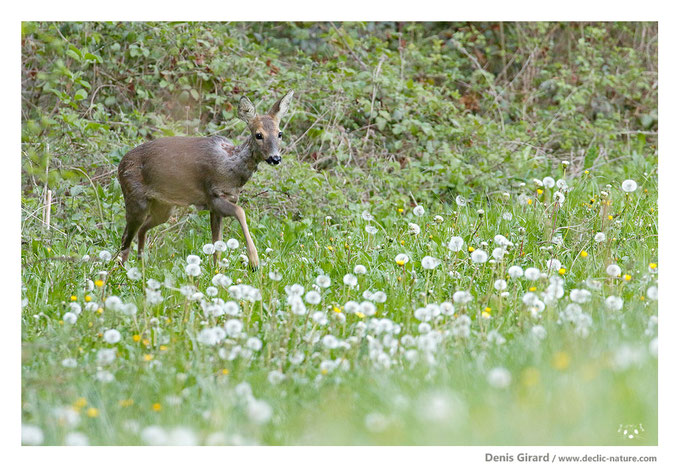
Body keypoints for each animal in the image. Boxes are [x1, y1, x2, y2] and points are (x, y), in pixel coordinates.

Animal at [117, 89, 292, 268]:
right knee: (125, 238)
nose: (275, 158)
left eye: (279, 133)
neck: (231, 167)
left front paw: (217, 268)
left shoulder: (221, 203)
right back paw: (121, 268)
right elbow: (240, 212)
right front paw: (254, 261)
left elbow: (217, 242)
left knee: (141, 229)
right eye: (258, 135)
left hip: (164, 206)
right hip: (135, 197)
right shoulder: (213, 196)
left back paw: (140, 264)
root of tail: (121, 164)